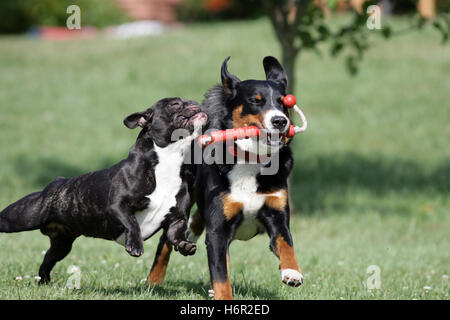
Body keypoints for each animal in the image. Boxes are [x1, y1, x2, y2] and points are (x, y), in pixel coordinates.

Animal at [0, 97, 207, 282]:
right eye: (175, 104)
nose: (194, 102)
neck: (169, 158)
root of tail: (57, 182)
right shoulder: (117, 205)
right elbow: (132, 223)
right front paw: (135, 245)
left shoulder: (176, 219)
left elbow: (176, 234)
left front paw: (185, 245)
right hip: (23, 216)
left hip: (62, 243)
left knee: (48, 258)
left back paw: (43, 280)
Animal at [149, 57, 304, 300]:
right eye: (255, 101)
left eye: (283, 102)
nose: (280, 121)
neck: (251, 160)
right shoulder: (218, 229)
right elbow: (220, 274)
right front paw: (224, 295)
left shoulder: (276, 213)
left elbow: (286, 244)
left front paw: (292, 272)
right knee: (165, 241)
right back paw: (153, 281)